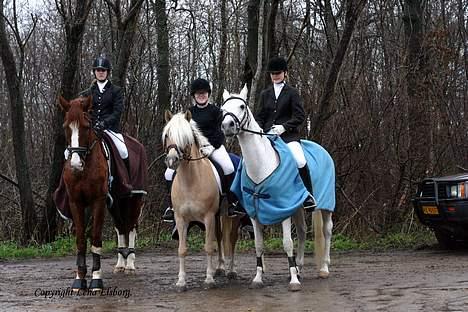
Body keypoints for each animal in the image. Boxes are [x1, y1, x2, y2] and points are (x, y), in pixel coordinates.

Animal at [57, 96, 144, 292]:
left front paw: (96, 279)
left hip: (135, 199)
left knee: (131, 226)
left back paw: (130, 264)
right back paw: (120, 264)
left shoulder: (98, 201)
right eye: (66, 126)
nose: (75, 164)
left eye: (86, 127)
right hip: (116, 202)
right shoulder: (75, 202)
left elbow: (96, 238)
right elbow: (81, 240)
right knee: (121, 227)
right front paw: (79, 280)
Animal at [220, 85, 334, 290]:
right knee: (303, 231)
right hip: (298, 208)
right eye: (223, 109)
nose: (227, 126)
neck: (261, 163)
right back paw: (300, 267)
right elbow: (258, 245)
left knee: (327, 230)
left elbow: (287, 243)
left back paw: (324, 268)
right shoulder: (255, 213)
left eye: (242, 106)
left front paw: (294, 281)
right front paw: (258, 278)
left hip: (326, 205)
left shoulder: (284, 210)